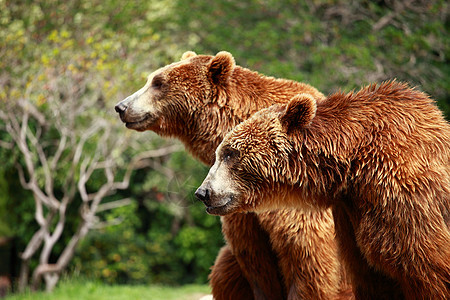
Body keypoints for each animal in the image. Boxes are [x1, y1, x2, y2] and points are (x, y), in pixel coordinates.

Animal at [115, 50, 352, 298]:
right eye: (151, 79)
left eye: (158, 82)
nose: (122, 107)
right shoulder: (241, 215)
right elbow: (256, 267)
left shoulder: (297, 201)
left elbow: (308, 259)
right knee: (223, 273)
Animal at [197, 81, 450, 298]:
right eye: (221, 152)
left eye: (230, 153)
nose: (203, 192)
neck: (350, 166)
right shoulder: (351, 218)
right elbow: (373, 279)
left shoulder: (405, 199)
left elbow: (429, 272)